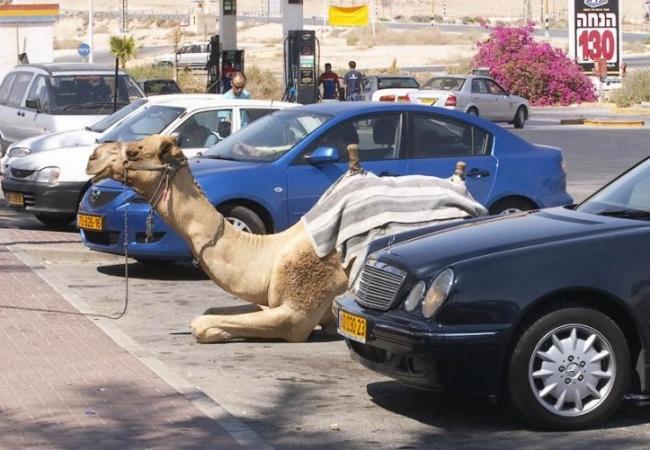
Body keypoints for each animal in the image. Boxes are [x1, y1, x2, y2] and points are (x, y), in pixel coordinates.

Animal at [86, 135, 478, 342]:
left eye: (135, 150)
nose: (92, 156)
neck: (268, 255)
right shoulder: (270, 301)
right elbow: (212, 312)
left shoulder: (296, 315)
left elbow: (202, 323)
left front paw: (213, 331)